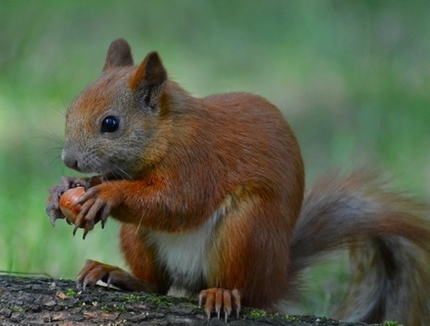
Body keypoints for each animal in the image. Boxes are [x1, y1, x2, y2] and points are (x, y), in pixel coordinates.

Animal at [45, 38, 430, 324]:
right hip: (138, 237)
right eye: (71, 110)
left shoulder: (198, 162)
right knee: (157, 286)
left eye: (110, 124)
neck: (167, 132)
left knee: (245, 291)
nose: (69, 160)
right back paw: (118, 274)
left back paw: (223, 294)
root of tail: (278, 276)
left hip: (247, 228)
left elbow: (178, 203)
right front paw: (63, 189)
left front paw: (106, 194)